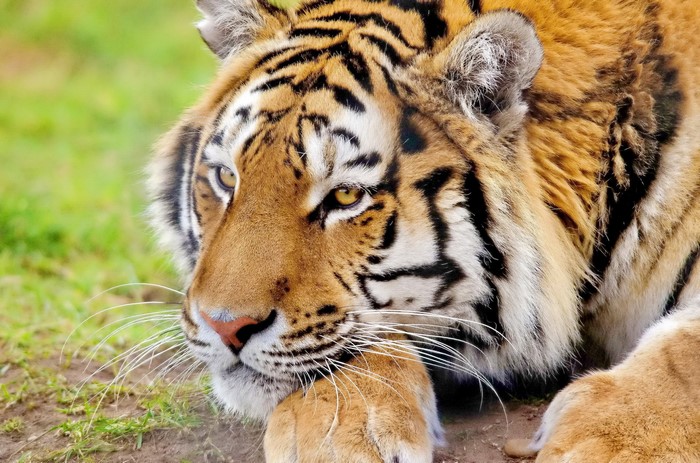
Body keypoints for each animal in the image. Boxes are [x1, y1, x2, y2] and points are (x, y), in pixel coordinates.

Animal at [146, 0, 700, 461]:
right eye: (226, 178)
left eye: (345, 197)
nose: (224, 327)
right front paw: (335, 430)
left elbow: (683, 354)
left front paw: (612, 441)